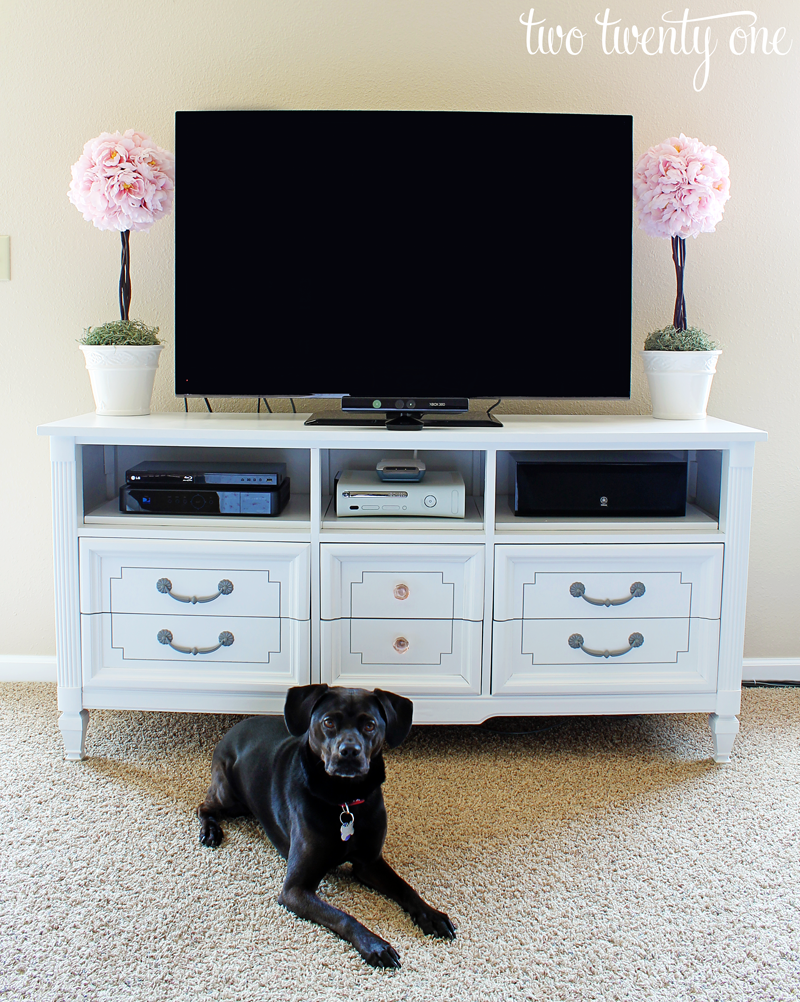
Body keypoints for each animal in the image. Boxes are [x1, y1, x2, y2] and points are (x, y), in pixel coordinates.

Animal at [197, 681, 457, 961]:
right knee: (204, 805)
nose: (349, 752)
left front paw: (431, 915)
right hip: (230, 797)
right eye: (329, 722)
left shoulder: (370, 863)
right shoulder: (295, 889)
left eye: (370, 725)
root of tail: (234, 729)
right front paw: (375, 945)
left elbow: (405, 888)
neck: (344, 800)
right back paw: (210, 832)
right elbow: (343, 916)